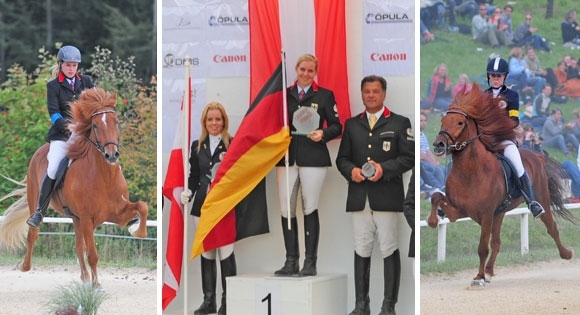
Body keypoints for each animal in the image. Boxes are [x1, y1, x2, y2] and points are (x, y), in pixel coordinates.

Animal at [0, 87, 147, 288]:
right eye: (95, 126)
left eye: (116, 123)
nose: (111, 155)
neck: (105, 178)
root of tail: (39, 152)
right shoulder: (86, 219)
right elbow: (92, 254)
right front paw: (96, 285)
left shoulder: (118, 213)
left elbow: (142, 206)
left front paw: (138, 230)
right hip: (37, 202)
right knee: (33, 234)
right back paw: (24, 266)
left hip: (75, 219)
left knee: (78, 247)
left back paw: (84, 278)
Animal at [426, 85, 576, 286]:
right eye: (443, 120)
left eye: (459, 123)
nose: (439, 145)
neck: (469, 172)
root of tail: (536, 154)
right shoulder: (459, 211)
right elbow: (436, 196)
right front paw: (432, 221)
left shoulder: (486, 214)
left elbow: (482, 247)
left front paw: (478, 277)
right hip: (500, 213)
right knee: (497, 242)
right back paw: (489, 271)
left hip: (540, 198)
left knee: (551, 227)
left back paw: (567, 254)